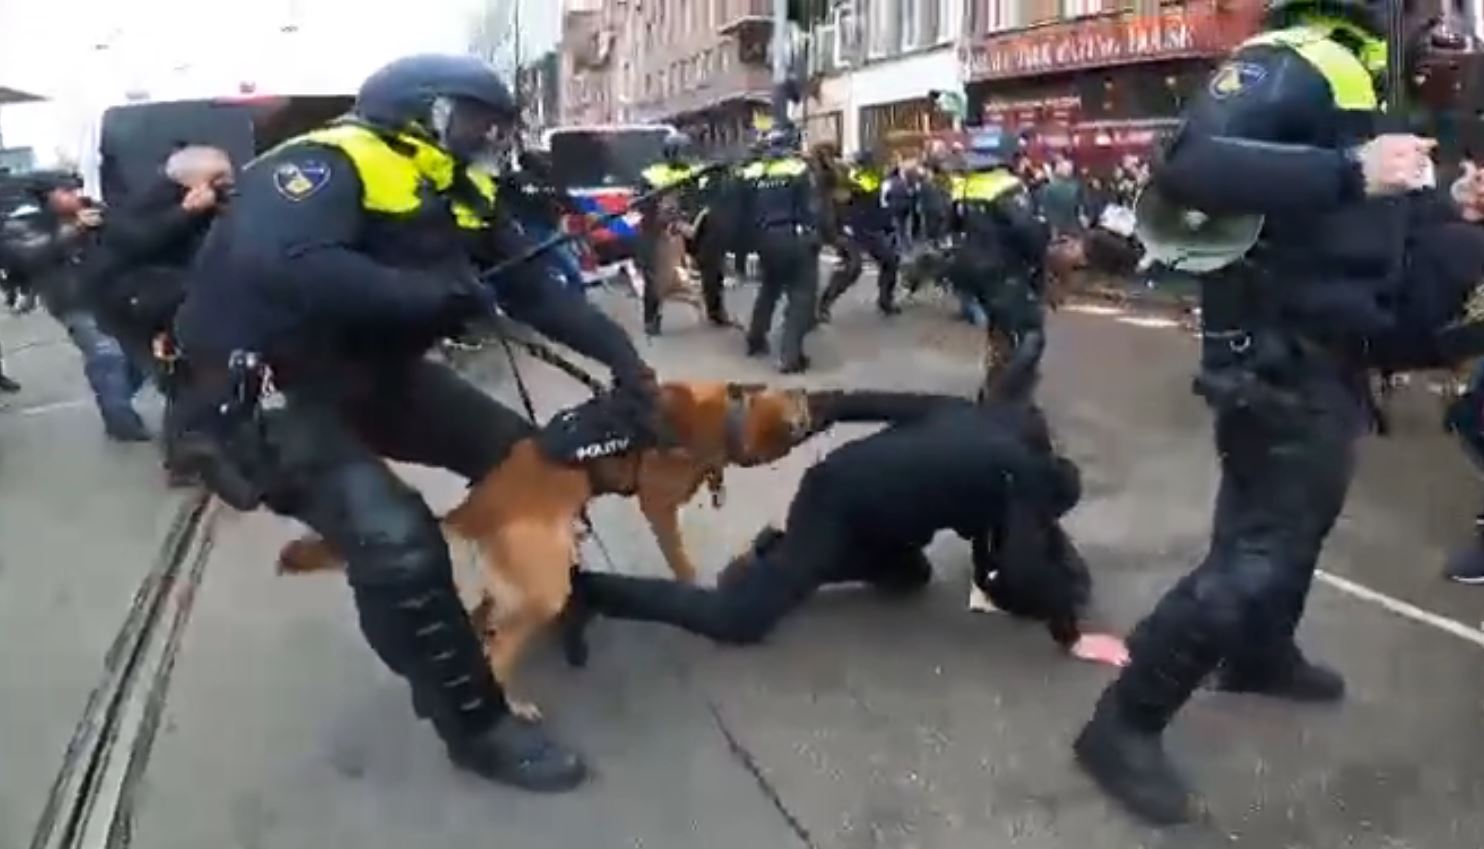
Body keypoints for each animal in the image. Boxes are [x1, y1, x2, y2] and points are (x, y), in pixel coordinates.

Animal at [273, 379, 819, 712]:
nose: (806, 394)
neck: (724, 415)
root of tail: (472, 510)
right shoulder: (658, 507)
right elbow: (680, 558)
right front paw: (696, 585)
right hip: (542, 588)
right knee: (497, 649)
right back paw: (513, 705)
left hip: (520, 583)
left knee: (484, 625)